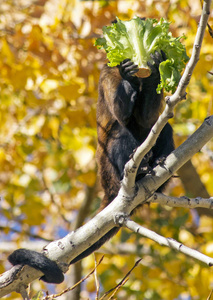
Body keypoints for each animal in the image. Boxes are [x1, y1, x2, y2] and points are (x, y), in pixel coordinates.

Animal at [8, 47, 175, 284]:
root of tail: (109, 186)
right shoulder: (106, 73)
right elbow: (122, 113)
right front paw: (128, 74)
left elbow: (147, 118)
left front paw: (155, 63)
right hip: (110, 169)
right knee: (120, 130)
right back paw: (138, 170)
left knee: (164, 127)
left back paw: (157, 164)